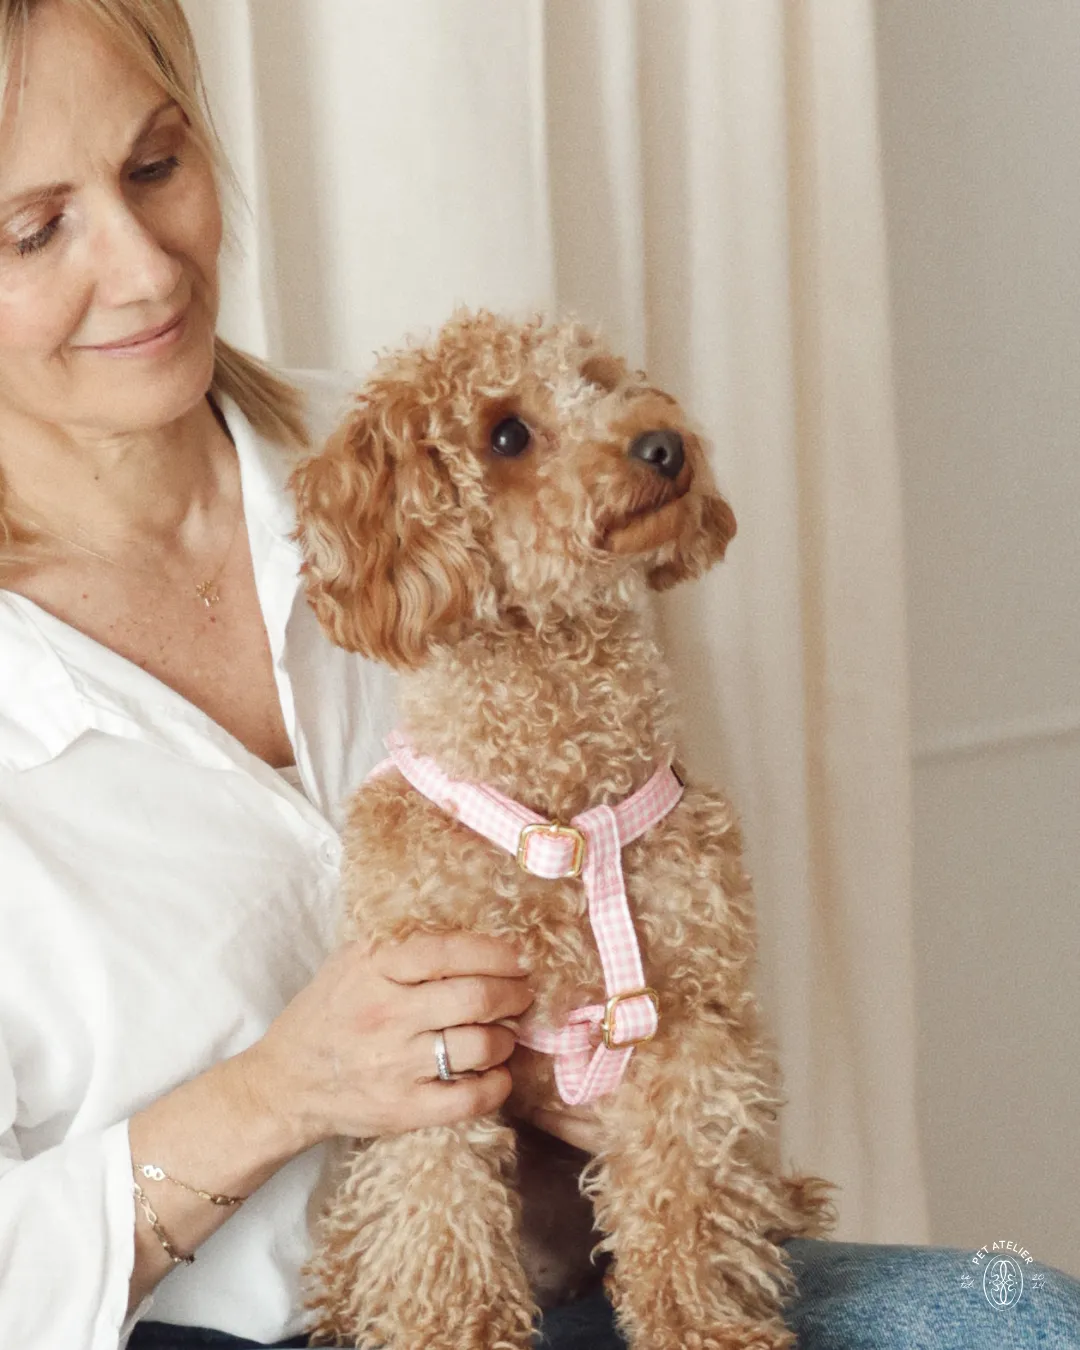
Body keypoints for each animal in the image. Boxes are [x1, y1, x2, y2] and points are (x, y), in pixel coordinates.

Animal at [290, 310, 837, 1349]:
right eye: (506, 434)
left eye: (603, 379)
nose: (663, 443)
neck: (564, 815)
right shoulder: (430, 1041)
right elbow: (438, 1212)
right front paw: (454, 1331)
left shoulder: (685, 1013)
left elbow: (684, 1197)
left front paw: (702, 1324)